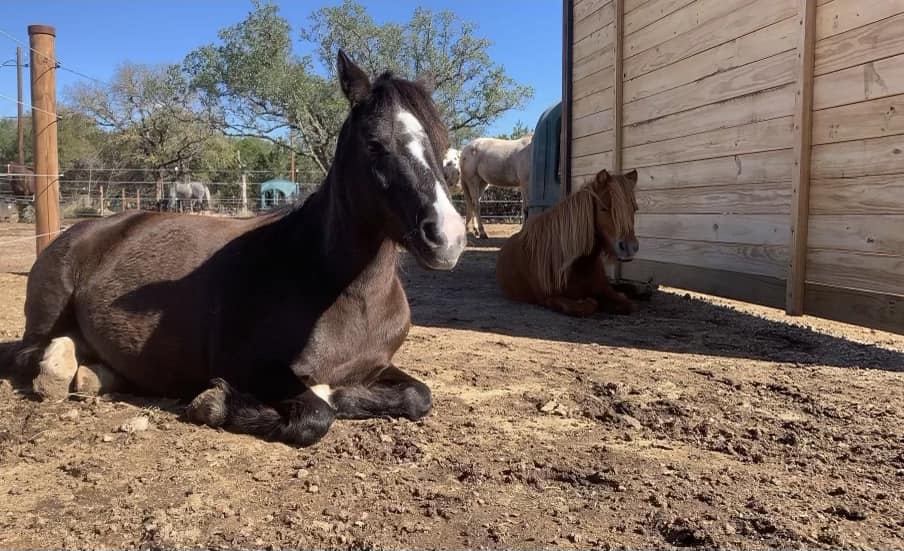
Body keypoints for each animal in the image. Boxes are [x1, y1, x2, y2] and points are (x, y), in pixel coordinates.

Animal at [14, 50, 466, 448]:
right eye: (374, 143)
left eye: (443, 145)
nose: (448, 237)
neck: (339, 290)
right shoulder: (251, 367)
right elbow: (316, 414)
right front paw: (215, 403)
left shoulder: (377, 365)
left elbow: (418, 396)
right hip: (48, 308)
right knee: (30, 354)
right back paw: (58, 369)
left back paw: (92, 376)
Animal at [494, 171, 644, 320]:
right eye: (603, 208)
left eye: (634, 209)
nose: (630, 247)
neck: (579, 264)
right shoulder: (549, 298)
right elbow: (587, 306)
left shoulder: (605, 290)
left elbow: (629, 305)